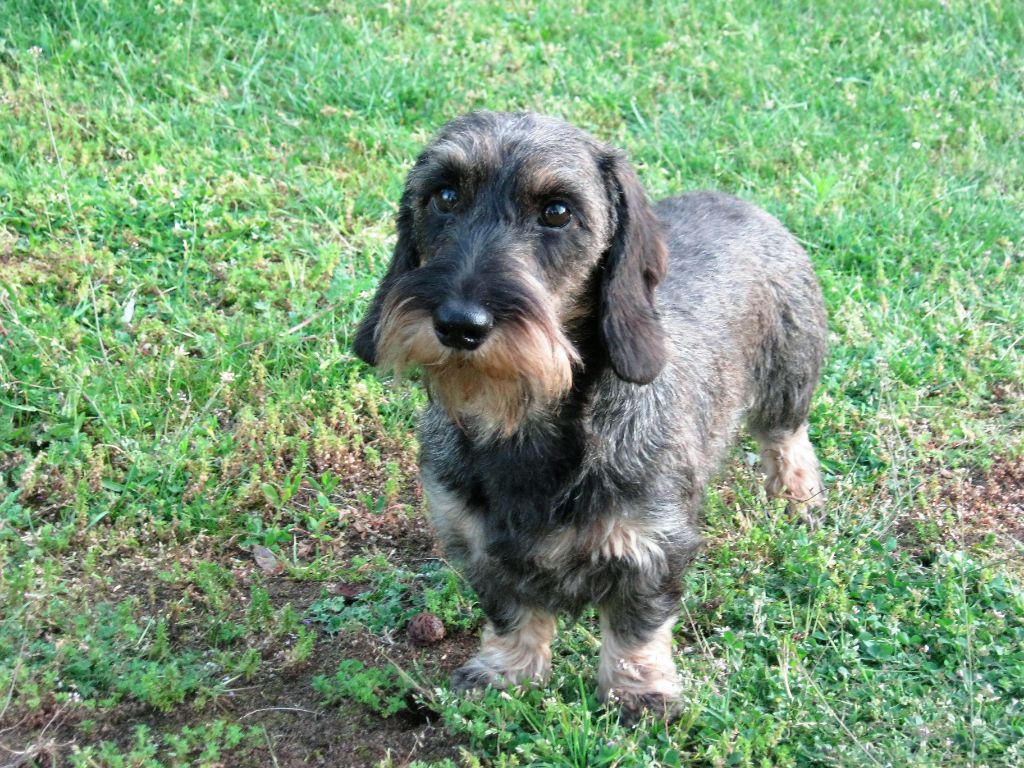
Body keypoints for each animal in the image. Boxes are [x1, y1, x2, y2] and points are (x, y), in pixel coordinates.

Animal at [352, 111, 823, 724]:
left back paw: (796, 495)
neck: (522, 426)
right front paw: (504, 672)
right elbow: (512, 614)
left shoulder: (653, 547)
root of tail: (739, 202)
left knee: (787, 438)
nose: (460, 323)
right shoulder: (477, 545)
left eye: (557, 211)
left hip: (789, 378)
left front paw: (638, 692)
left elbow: (635, 628)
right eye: (445, 196)